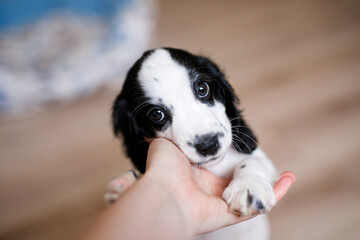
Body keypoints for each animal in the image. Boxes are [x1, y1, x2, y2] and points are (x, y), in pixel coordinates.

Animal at [108, 47, 278, 239]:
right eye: (156, 114)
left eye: (202, 88)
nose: (208, 145)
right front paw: (128, 185)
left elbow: (252, 161)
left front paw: (247, 187)